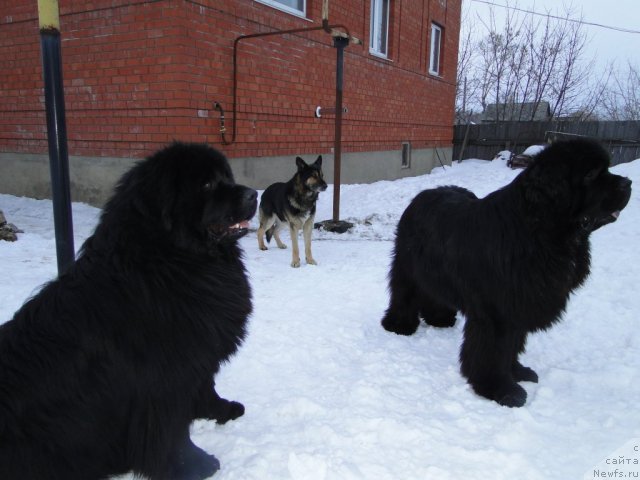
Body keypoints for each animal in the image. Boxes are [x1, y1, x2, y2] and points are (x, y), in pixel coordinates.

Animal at [2, 143, 258, 480]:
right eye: (206, 185)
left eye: (226, 177)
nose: (254, 194)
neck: (173, 261)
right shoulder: (164, 378)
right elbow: (171, 432)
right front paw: (191, 468)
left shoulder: (198, 357)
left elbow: (206, 387)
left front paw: (221, 409)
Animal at [382, 139, 632, 408]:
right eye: (591, 174)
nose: (628, 183)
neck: (538, 230)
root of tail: (423, 194)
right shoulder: (496, 312)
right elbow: (493, 352)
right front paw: (499, 389)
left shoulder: (519, 303)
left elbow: (513, 344)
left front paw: (517, 372)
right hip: (408, 266)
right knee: (404, 293)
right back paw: (399, 325)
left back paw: (439, 318)